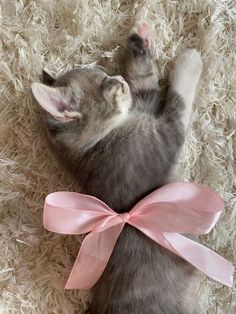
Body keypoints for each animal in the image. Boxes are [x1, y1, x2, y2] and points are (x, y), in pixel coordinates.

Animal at [31, 22, 203, 314]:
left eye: (104, 73)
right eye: (103, 82)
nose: (119, 78)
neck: (96, 145)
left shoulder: (143, 105)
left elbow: (145, 83)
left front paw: (139, 40)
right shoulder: (163, 136)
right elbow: (177, 101)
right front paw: (189, 62)